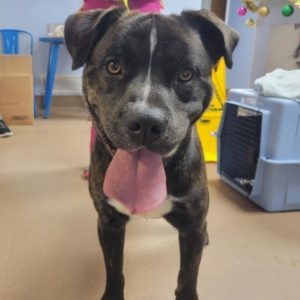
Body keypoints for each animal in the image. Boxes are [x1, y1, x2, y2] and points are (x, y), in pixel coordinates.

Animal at [63, 8, 239, 298]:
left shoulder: (192, 226)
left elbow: (188, 276)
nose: (145, 122)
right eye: (113, 66)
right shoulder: (108, 223)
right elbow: (114, 271)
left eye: (186, 74)